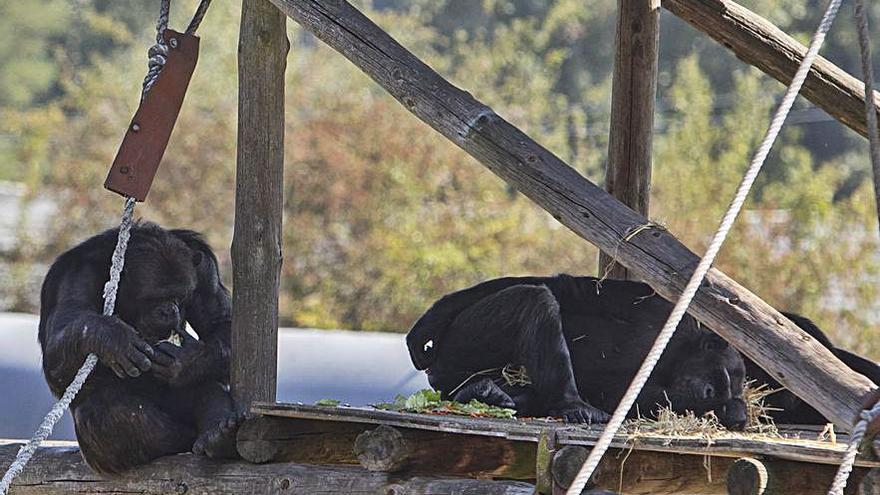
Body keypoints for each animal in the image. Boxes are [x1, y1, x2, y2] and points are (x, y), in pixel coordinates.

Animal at [38, 223, 237, 474]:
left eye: (179, 296)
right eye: (153, 298)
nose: (169, 310)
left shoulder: (204, 269)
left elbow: (222, 321)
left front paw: (188, 360)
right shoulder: (74, 276)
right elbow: (58, 346)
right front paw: (112, 337)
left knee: (207, 387)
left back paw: (218, 436)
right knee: (105, 413)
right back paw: (183, 438)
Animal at [410, 276, 748, 430]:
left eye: (721, 390)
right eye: (718, 378)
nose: (708, 392)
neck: (678, 355)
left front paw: (735, 410)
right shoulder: (656, 308)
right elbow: (574, 291)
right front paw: (428, 324)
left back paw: (482, 392)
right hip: (461, 341)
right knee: (535, 299)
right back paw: (572, 404)